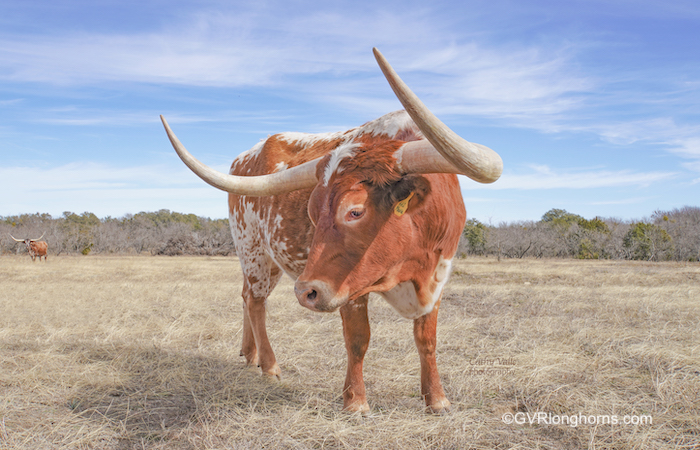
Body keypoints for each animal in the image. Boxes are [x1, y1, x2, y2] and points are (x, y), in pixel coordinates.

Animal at [163, 48, 504, 412]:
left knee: (246, 296)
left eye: (355, 211)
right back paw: (269, 366)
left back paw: (249, 354)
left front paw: (437, 399)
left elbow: (427, 340)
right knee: (255, 301)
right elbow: (358, 339)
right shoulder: (350, 288)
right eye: (312, 212)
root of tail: (244, 157)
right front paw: (355, 402)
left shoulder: (438, 276)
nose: (305, 292)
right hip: (252, 249)